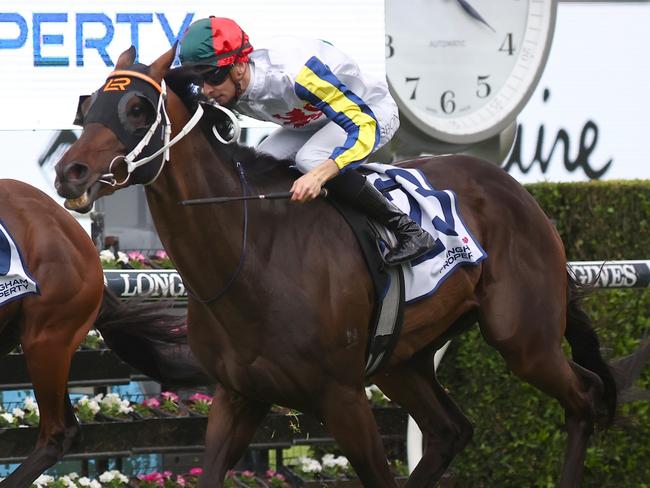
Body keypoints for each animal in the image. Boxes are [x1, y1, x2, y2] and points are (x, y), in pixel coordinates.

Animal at [55, 45, 644, 488]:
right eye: (87, 107)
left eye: (136, 108)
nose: (69, 173)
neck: (253, 252)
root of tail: (520, 194)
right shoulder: (238, 395)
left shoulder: (341, 397)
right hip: (401, 359)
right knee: (450, 431)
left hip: (524, 337)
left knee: (586, 398)